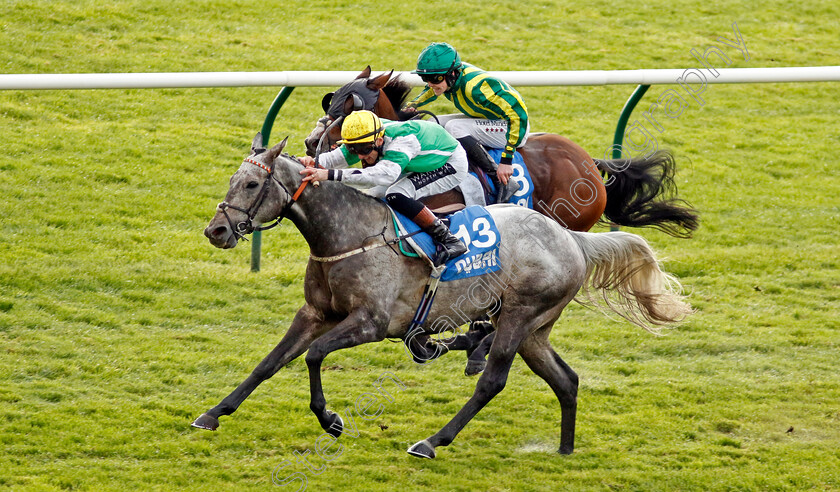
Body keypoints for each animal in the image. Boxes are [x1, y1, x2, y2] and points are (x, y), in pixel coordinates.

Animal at [194, 134, 692, 458]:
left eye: (252, 185)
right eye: (233, 180)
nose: (216, 231)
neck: (347, 234)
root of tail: (571, 238)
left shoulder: (371, 322)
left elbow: (315, 356)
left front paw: (330, 419)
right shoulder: (315, 312)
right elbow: (269, 363)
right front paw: (214, 413)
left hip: (519, 315)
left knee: (492, 380)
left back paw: (432, 441)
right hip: (535, 329)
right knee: (566, 380)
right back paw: (565, 450)